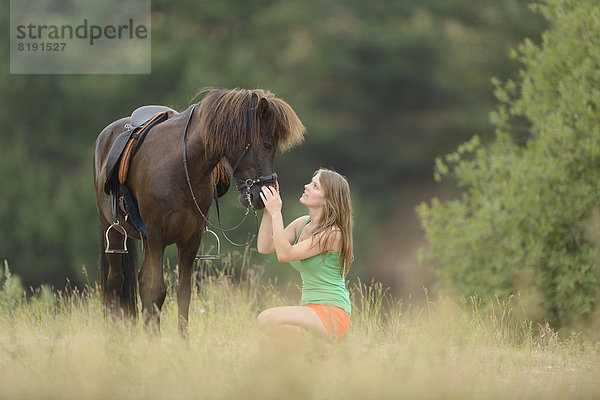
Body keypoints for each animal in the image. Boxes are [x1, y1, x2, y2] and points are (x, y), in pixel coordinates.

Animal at [93, 88, 304, 334]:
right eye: (267, 144)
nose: (263, 194)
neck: (180, 167)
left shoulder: (191, 238)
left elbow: (183, 293)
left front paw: (182, 339)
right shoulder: (155, 235)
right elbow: (155, 289)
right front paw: (153, 339)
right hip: (114, 232)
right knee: (115, 282)